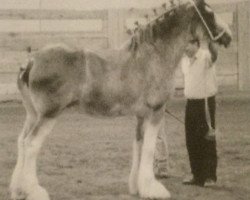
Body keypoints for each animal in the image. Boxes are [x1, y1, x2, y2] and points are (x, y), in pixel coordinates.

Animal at [9, 0, 232, 199]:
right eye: (210, 13)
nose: (228, 36)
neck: (153, 55)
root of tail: (32, 60)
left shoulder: (141, 116)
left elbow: (139, 146)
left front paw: (137, 187)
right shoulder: (156, 111)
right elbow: (149, 149)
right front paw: (153, 189)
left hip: (33, 115)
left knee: (21, 142)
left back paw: (18, 190)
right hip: (48, 115)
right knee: (31, 145)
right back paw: (35, 191)